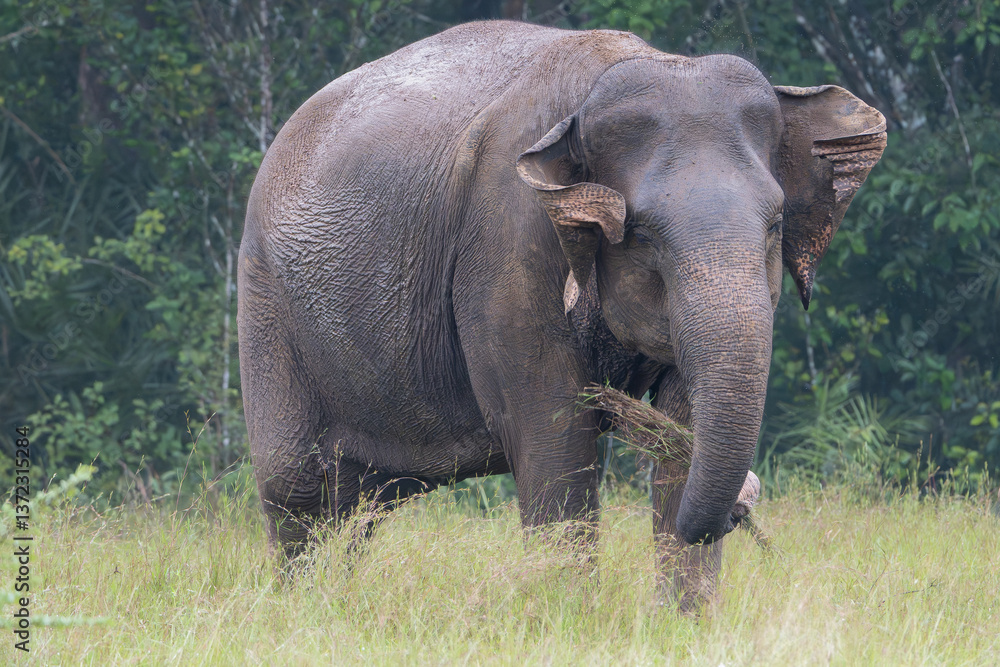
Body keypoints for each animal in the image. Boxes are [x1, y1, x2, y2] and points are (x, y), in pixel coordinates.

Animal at [237, 20, 886, 609]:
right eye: (642, 234)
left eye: (775, 225)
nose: (742, 511)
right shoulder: (507, 243)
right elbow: (554, 433)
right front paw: (569, 620)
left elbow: (684, 418)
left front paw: (686, 624)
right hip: (265, 301)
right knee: (297, 489)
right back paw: (302, 611)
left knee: (359, 508)